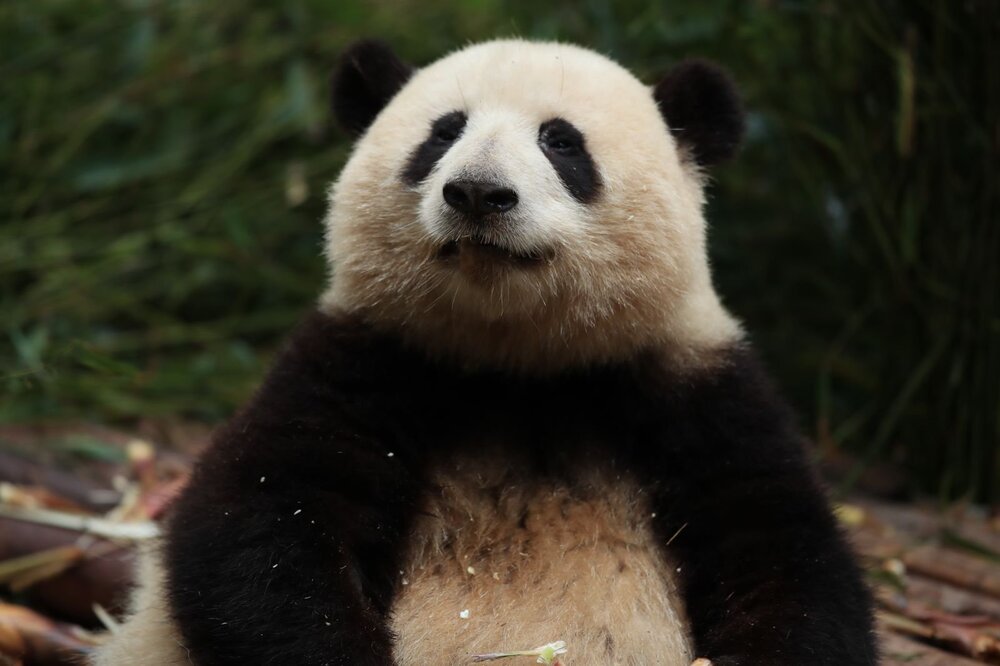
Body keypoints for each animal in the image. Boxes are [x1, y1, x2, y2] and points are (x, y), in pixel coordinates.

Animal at [93, 39, 877, 666]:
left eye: (561, 141)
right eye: (442, 133)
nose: (477, 193)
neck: (518, 365)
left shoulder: (695, 388)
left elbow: (788, 558)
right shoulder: (362, 359)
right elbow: (259, 530)